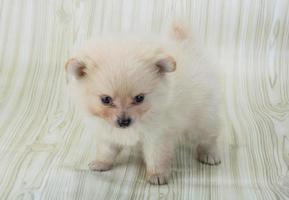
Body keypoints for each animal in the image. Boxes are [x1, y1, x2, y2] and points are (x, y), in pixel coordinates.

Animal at [64, 23, 220, 184]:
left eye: (139, 98)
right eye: (106, 99)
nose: (124, 122)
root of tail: (186, 45)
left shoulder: (157, 136)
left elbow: (156, 157)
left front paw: (157, 175)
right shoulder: (108, 133)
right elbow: (106, 150)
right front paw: (101, 163)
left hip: (202, 118)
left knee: (208, 137)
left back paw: (209, 154)